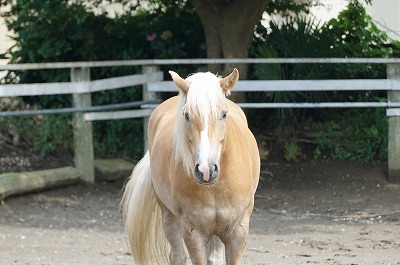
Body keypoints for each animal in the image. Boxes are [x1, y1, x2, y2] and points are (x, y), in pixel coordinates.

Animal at [120, 68, 260, 264]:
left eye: (224, 114)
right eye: (187, 116)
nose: (206, 171)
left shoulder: (238, 232)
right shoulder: (194, 234)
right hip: (169, 217)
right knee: (177, 255)